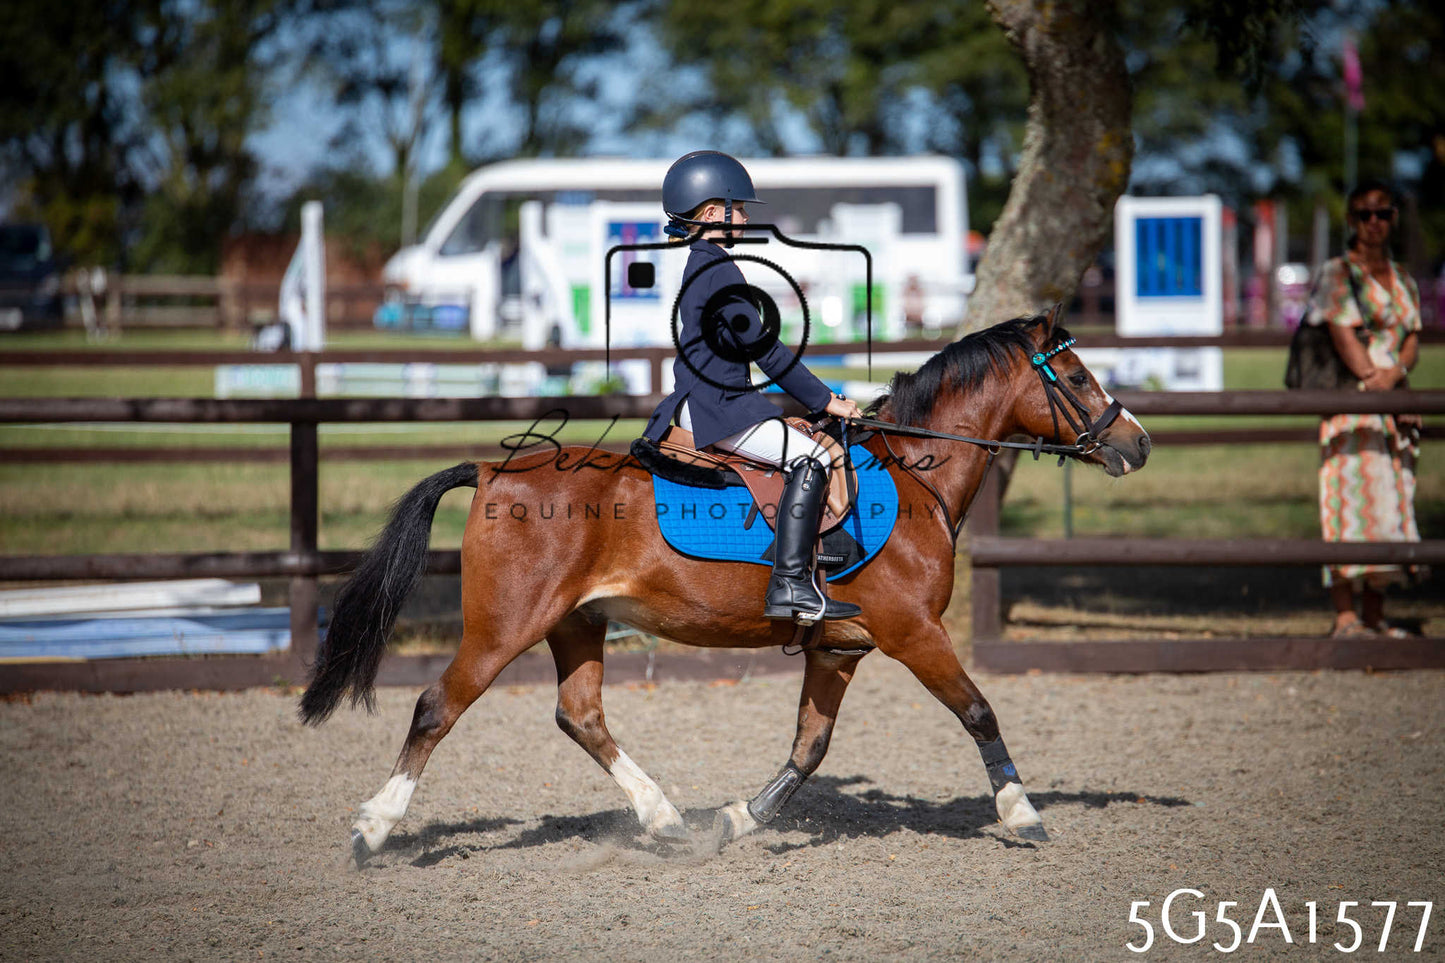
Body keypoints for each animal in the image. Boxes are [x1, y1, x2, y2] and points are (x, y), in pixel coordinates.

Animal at [299, 309, 1151, 866]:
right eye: (1075, 375)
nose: (1136, 443)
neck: (915, 477)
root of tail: (492, 469)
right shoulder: (914, 633)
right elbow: (978, 710)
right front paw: (1023, 812)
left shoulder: (838, 648)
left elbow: (808, 748)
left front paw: (737, 820)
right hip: (502, 627)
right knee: (435, 707)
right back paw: (372, 830)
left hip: (577, 622)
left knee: (580, 716)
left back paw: (667, 819)